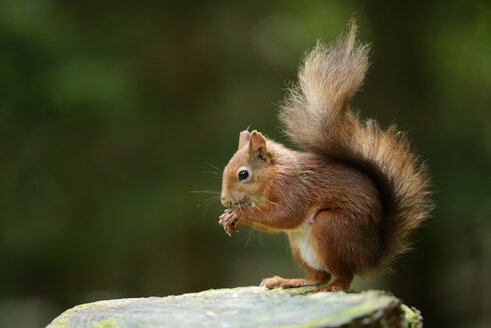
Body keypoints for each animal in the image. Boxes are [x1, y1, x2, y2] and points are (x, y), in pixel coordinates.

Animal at [217, 23, 432, 292]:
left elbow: (285, 214)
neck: (273, 174)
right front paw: (227, 217)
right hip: (298, 244)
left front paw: (240, 215)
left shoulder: (292, 187)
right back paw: (288, 281)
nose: (224, 200)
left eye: (243, 174)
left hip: (331, 227)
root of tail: (371, 255)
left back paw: (330, 288)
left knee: (342, 277)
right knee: (318, 275)